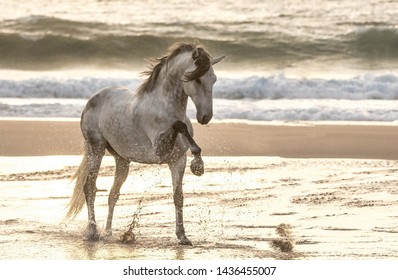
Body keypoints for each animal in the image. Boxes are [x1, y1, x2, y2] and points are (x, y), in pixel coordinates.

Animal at [65, 42, 224, 245]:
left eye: (214, 80)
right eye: (196, 80)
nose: (205, 117)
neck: (164, 108)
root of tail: (92, 99)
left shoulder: (177, 161)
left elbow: (178, 197)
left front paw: (182, 236)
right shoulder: (160, 151)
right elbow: (179, 126)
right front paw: (198, 164)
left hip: (122, 159)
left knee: (113, 193)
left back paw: (108, 232)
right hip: (96, 149)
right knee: (90, 187)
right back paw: (93, 232)